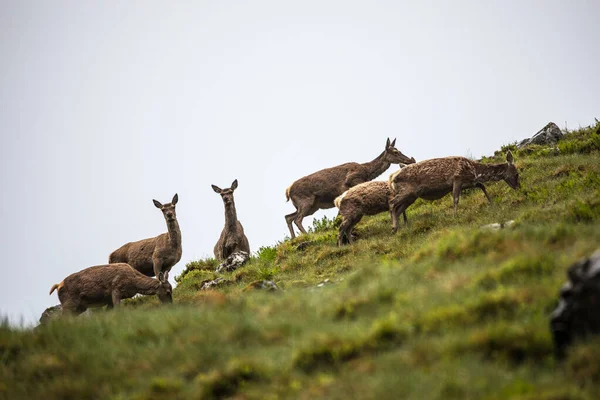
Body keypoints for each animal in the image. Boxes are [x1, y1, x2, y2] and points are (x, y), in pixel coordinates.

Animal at [284, 138, 414, 238]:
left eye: (399, 150)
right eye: (395, 152)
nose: (409, 160)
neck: (367, 173)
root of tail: (288, 191)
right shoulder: (350, 183)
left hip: (311, 206)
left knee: (288, 217)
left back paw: (293, 238)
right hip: (306, 202)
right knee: (297, 219)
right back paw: (306, 235)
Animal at [390, 150, 520, 233]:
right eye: (516, 173)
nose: (518, 187)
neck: (474, 170)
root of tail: (391, 178)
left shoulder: (467, 182)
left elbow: (482, 186)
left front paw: (492, 203)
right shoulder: (457, 178)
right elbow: (456, 198)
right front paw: (455, 216)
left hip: (411, 196)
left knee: (398, 209)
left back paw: (398, 227)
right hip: (407, 191)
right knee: (392, 203)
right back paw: (393, 227)